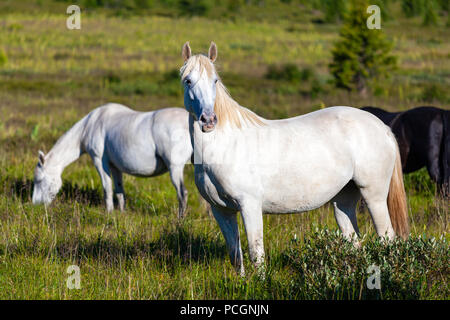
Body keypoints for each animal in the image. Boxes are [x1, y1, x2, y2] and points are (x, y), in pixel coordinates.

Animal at [31, 102, 193, 218]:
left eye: (39, 180)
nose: (35, 205)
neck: (90, 124)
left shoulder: (99, 161)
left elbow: (107, 188)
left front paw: (109, 213)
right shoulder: (115, 167)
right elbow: (119, 190)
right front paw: (121, 214)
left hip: (175, 167)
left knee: (183, 193)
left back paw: (180, 220)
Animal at [179, 40, 408, 276]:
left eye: (215, 80)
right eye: (188, 81)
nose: (208, 120)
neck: (226, 146)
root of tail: (383, 127)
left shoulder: (250, 206)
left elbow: (256, 253)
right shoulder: (221, 211)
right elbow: (236, 255)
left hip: (374, 196)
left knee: (387, 238)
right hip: (343, 200)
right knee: (353, 241)